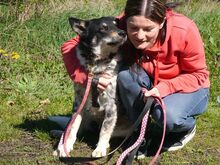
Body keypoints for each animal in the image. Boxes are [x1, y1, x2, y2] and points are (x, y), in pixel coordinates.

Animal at [51, 16, 126, 157]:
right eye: (103, 28)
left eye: (116, 25)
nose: (123, 33)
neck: (96, 68)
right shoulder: (79, 102)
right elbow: (73, 127)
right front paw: (65, 147)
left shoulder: (111, 105)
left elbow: (105, 129)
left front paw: (100, 149)